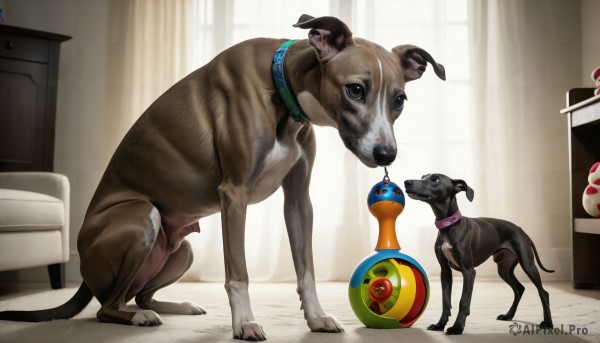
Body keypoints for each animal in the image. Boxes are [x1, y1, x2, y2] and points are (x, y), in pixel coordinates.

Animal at [1, 14, 446, 340]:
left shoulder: (298, 201)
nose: (386, 154)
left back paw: (175, 306)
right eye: (355, 89)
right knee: (108, 306)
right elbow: (238, 274)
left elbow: (306, 270)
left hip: (181, 250)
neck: (283, 89)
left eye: (399, 100)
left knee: (138, 294)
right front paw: (245, 323)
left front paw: (317, 318)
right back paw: (138, 318)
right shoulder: (234, 195)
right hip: (143, 216)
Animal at [404, 173, 552, 334]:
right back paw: (508, 315)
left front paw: (457, 327)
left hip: (527, 264)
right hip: (504, 269)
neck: (449, 225)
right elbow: (446, 301)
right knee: (519, 289)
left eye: (435, 179)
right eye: (423, 176)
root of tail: (521, 230)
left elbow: (463, 301)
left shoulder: (469, 272)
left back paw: (548, 323)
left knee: (543, 293)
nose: (406, 182)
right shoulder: (445, 271)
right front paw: (440, 325)